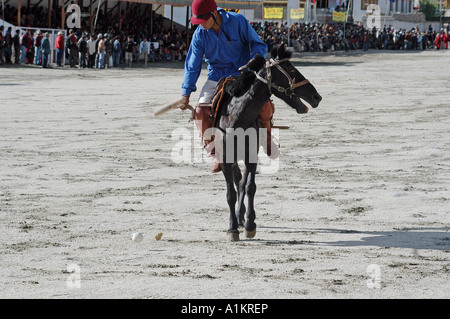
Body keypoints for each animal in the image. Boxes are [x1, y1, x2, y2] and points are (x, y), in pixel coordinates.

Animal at [210, 43, 320, 241]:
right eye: (291, 69)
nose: (316, 97)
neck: (237, 119)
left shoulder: (251, 156)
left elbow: (249, 186)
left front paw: (249, 224)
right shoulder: (225, 159)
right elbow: (230, 193)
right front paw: (232, 228)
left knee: (242, 182)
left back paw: (242, 217)